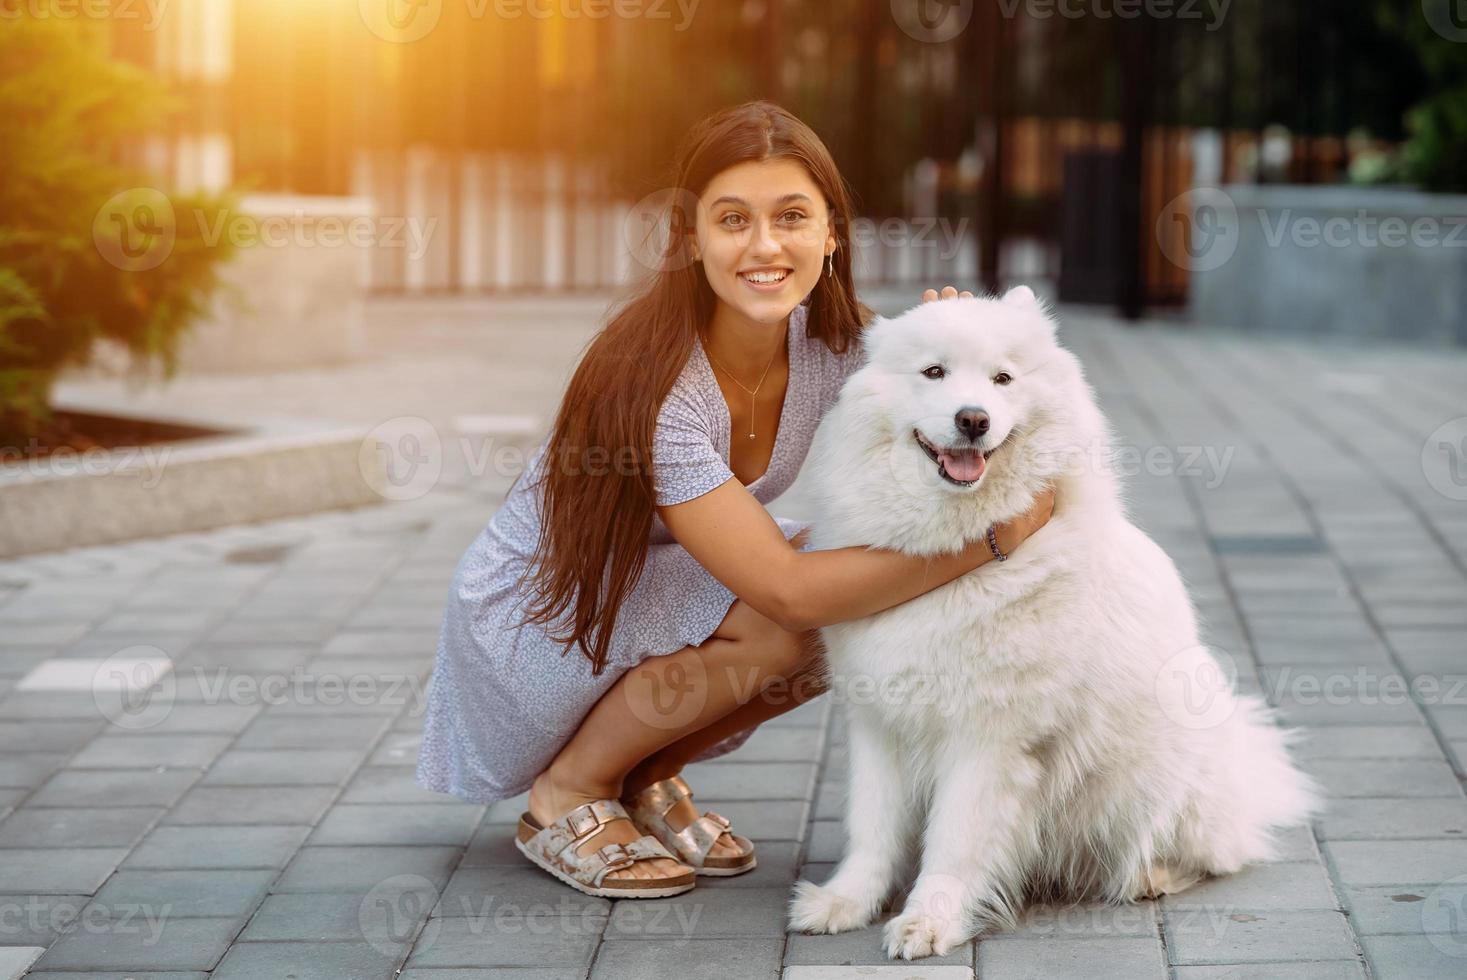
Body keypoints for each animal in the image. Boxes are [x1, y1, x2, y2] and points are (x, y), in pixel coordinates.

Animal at [786, 287, 1326, 962]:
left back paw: (1150, 876)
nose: (973, 419)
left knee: (1210, 856)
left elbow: (954, 843)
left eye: (1002, 379)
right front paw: (846, 902)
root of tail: (1249, 765)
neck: (947, 558)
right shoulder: (878, 724)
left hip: (1156, 777)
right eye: (933, 372)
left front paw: (929, 921)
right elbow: (872, 829)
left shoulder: (987, 738)